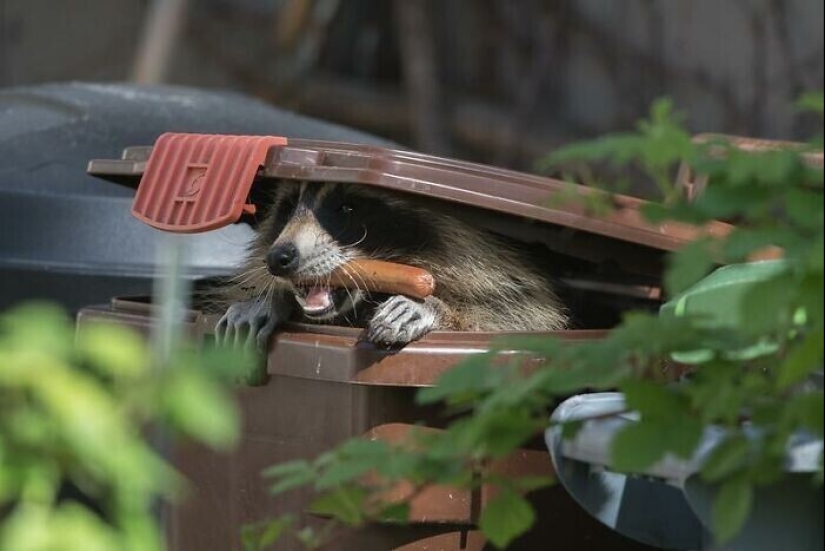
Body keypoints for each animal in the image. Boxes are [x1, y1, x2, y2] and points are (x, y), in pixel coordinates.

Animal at [212, 182, 568, 350]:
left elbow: (511, 320)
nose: (279, 258)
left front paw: (437, 308)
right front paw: (269, 298)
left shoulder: (515, 289)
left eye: (347, 208)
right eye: (287, 207)